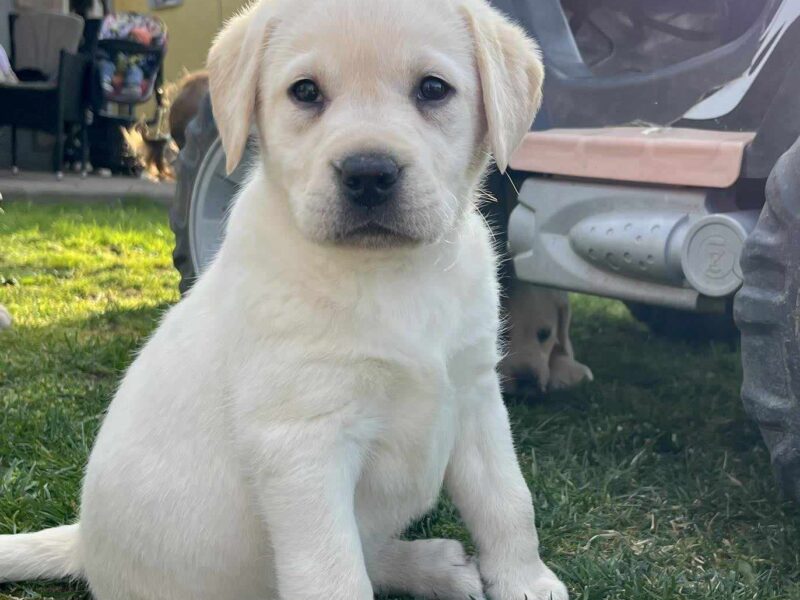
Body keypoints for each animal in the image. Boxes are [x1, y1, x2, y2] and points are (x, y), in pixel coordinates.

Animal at [0, 1, 568, 600]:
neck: (391, 274)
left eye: (434, 88)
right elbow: (333, 572)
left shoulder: (475, 396)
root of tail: (84, 544)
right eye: (305, 92)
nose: (369, 173)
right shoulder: (303, 444)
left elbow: (508, 500)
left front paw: (526, 580)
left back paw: (432, 565)